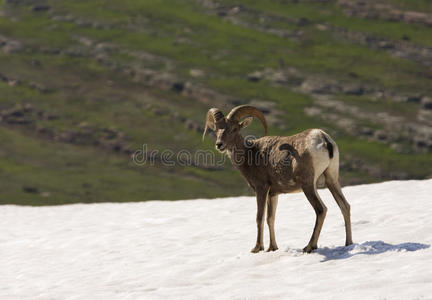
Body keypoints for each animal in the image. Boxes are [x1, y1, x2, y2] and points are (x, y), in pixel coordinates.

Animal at [202, 105, 352, 253]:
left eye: (234, 128)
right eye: (216, 129)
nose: (219, 144)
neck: (250, 155)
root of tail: (324, 139)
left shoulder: (261, 189)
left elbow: (260, 217)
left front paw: (257, 248)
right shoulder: (273, 194)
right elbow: (270, 218)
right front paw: (272, 248)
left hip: (308, 185)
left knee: (321, 209)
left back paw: (309, 246)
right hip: (331, 180)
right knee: (345, 206)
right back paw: (348, 243)